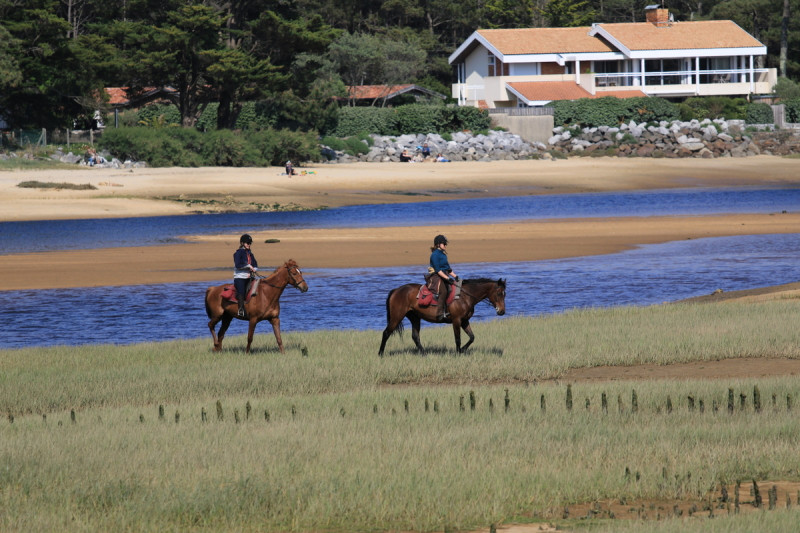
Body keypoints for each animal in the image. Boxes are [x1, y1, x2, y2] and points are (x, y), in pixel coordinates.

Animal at [376, 276, 504, 356]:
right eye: (499, 293)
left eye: (505, 294)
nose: (502, 311)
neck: (464, 296)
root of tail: (396, 290)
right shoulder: (457, 320)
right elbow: (458, 338)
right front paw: (458, 353)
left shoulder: (464, 321)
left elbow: (472, 337)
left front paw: (462, 350)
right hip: (397, 317)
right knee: (386, 333)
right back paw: (380, 354)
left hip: (414, 317)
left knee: (415, 336)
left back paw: (424, 354)